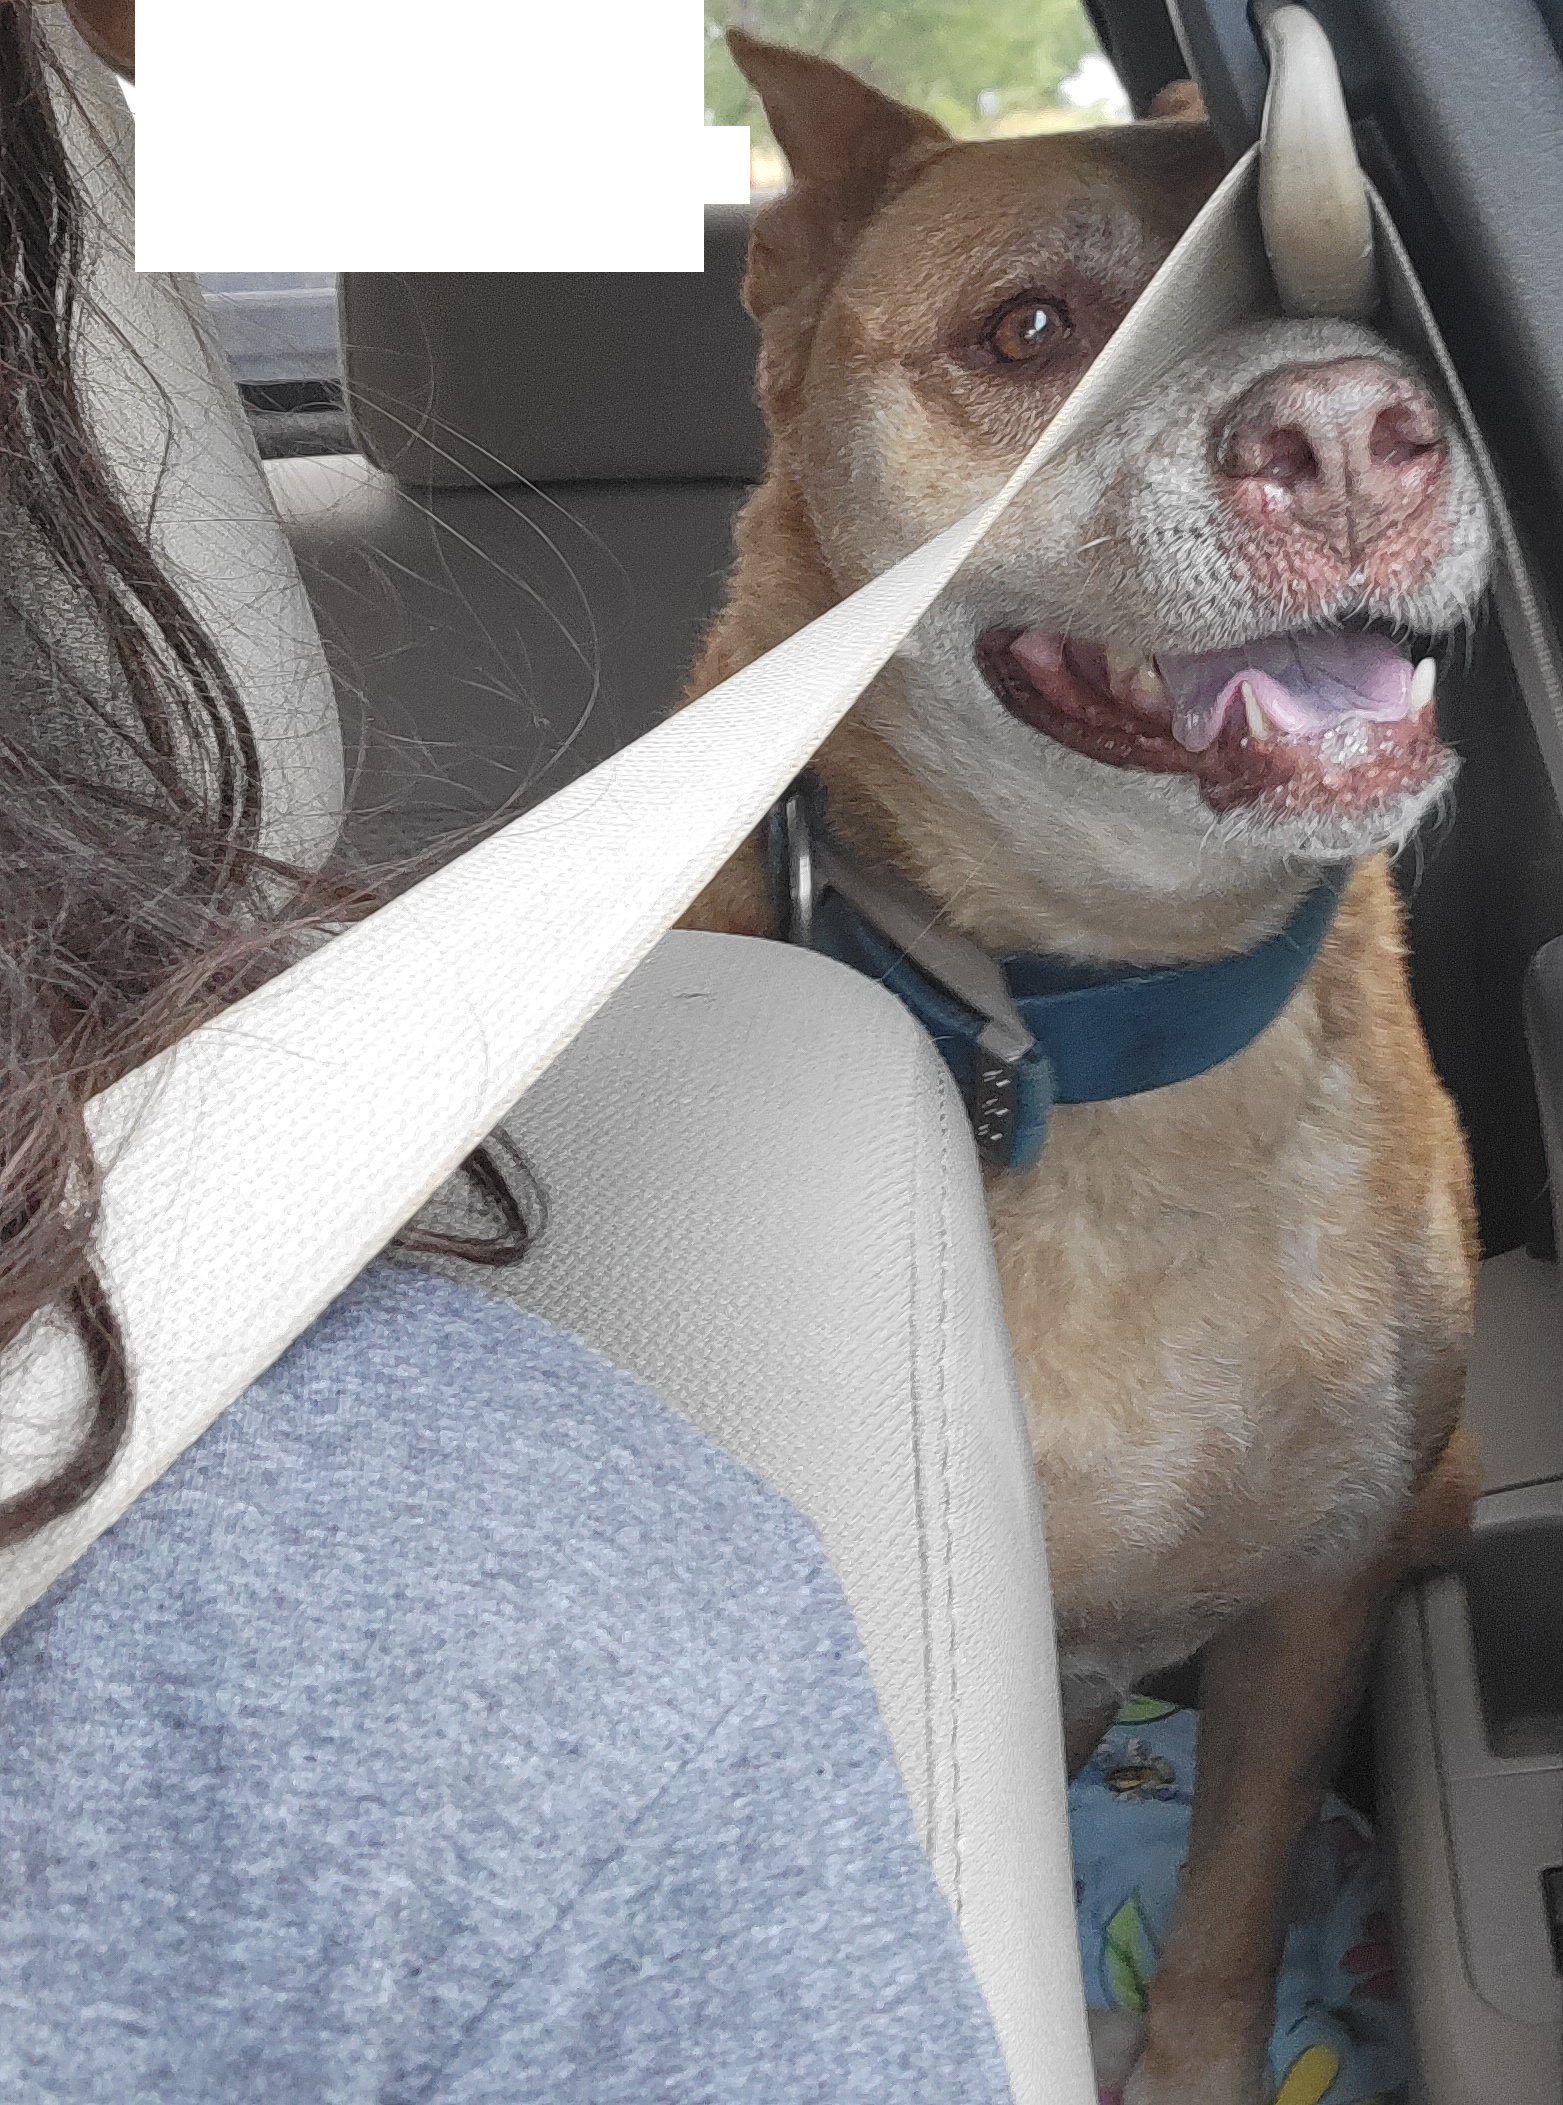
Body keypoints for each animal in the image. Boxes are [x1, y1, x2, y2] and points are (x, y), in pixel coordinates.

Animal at [679, 33, 1492, 2105]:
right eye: (1033, 327)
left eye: (1364, 293)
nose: (1350, 429)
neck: (1089, 1033)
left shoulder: (1314, 1598)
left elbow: (1227, 1909)